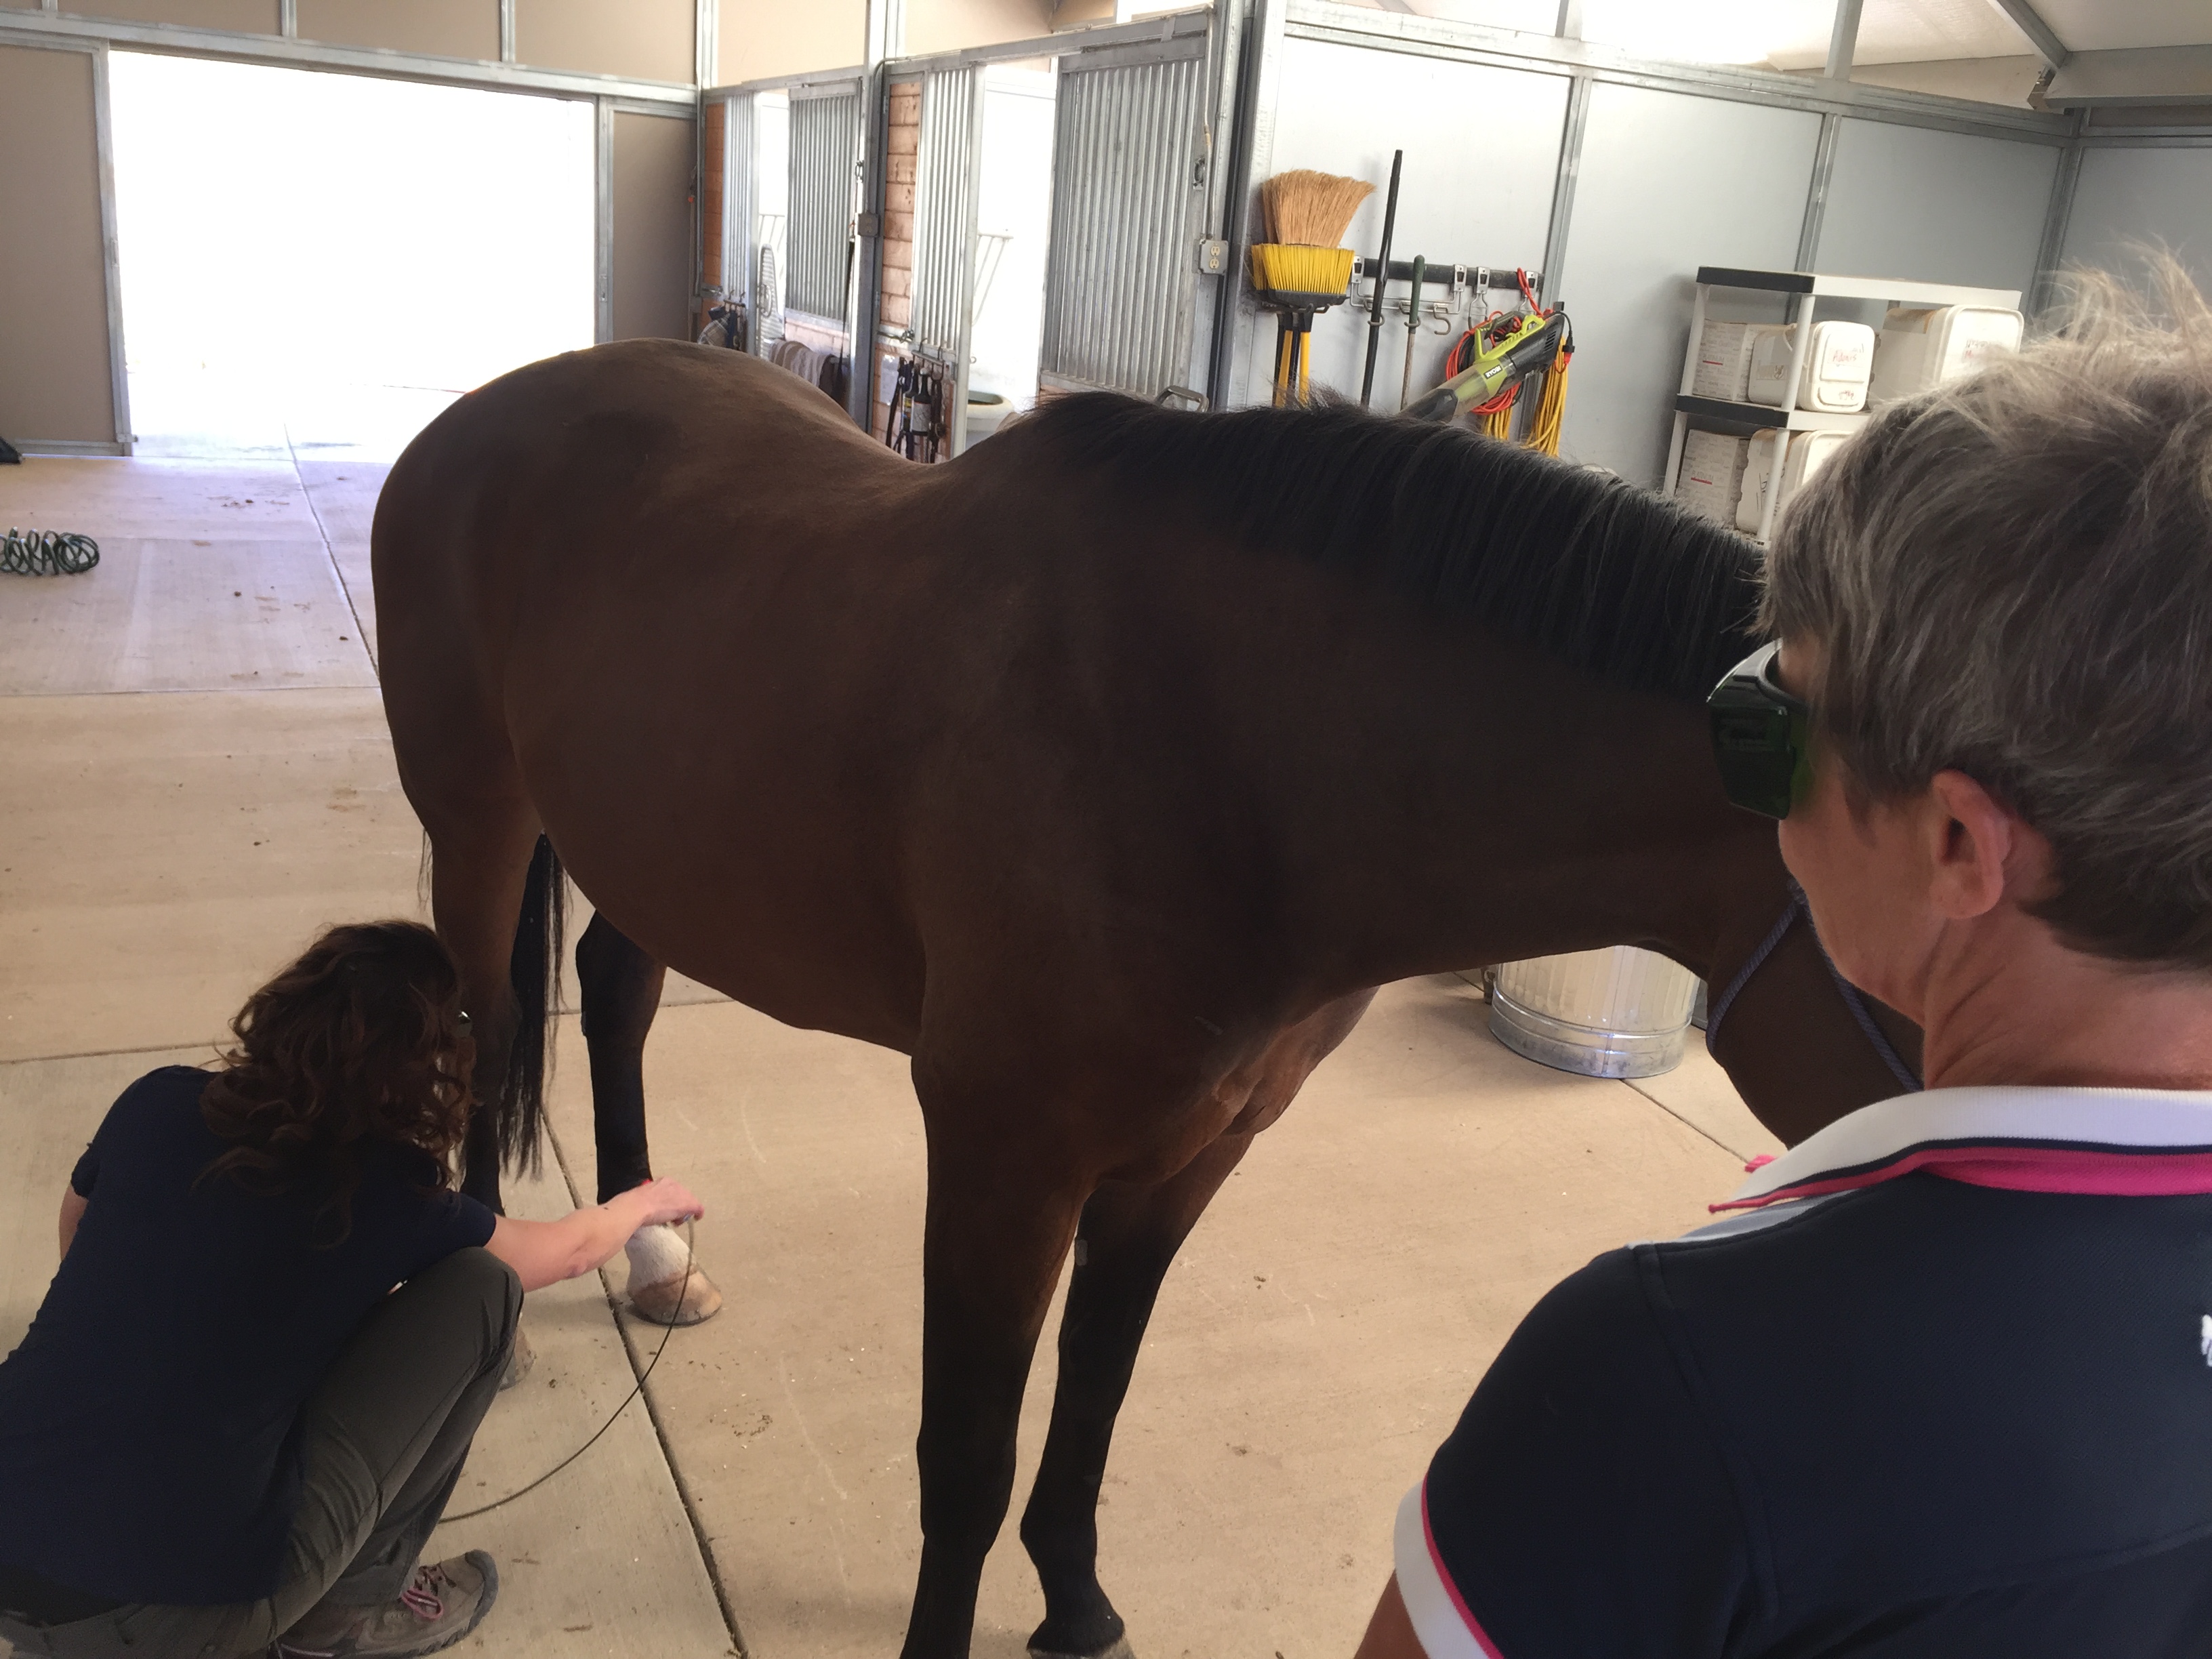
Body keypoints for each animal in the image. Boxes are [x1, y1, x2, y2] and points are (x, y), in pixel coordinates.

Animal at [375, 340, 1920, 1659]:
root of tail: (478, 420)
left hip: (653, 844)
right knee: (482, 1023)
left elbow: (1095, 1396)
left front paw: (1077, 1604)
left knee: (615, 998)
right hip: (481, 817)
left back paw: (651, 1255)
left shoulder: (1189, 1154)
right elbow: (967, 1458)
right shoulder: (1002, 1159)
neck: (1224, 747)